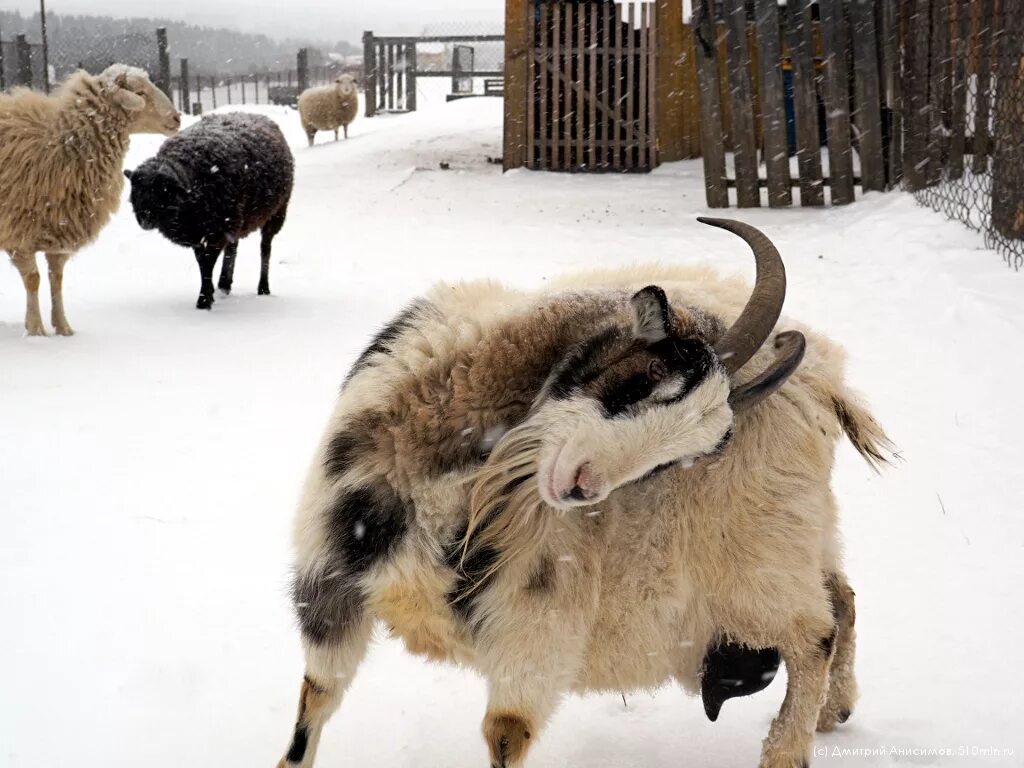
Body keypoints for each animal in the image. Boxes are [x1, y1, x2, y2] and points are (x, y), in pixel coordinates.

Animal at [0, 67, 180, 337]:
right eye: (139, 93)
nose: (177, 118)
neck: (61, 145)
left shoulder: (59, 231)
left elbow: (56, 279)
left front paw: (64, 329)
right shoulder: (19, 232)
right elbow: (33, 279)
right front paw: (35, 332)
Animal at [123, 111, 294, 309]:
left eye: (164, 191)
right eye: (136, 190)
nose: (145, 220)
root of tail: (252, 113)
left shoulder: (217, 231)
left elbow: (208, 261)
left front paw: (204, 300)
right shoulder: (196, 232)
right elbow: (202, 262)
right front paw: (209, 293)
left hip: (276, 212)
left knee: (265, 248)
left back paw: (263, 288)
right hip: (237, 218)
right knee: (233, 247)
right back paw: (224, 284)